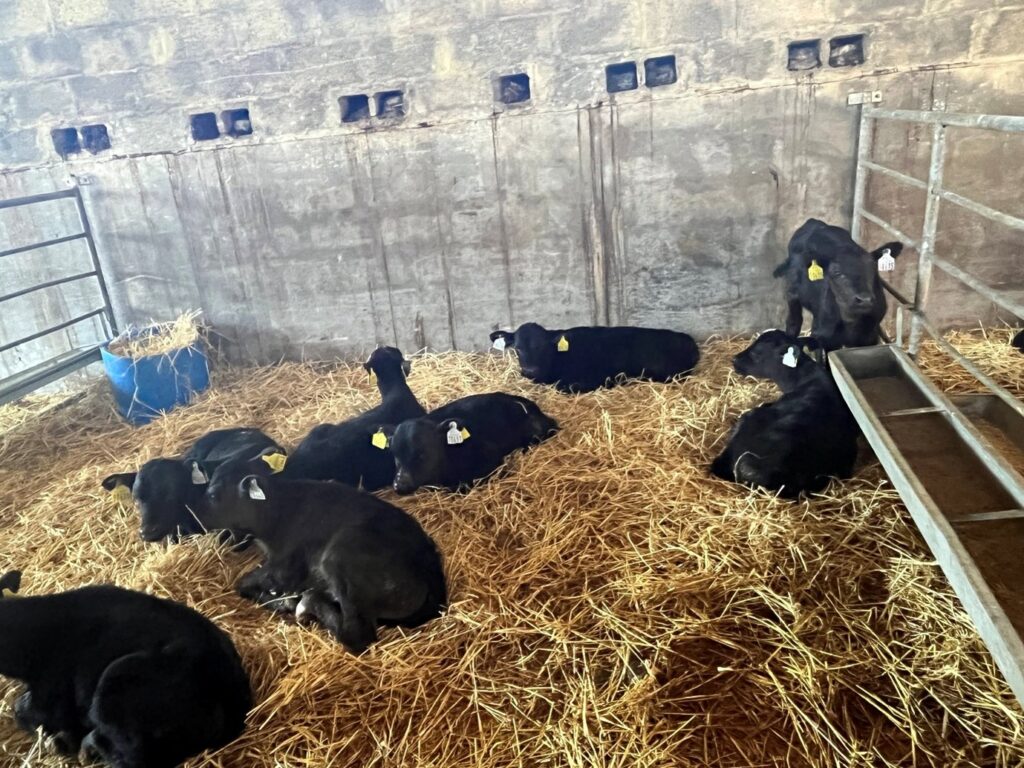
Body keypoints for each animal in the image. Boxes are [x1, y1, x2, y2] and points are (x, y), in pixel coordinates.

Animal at [200, 472, 447, 654]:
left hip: (339, 555)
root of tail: (431, 571)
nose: (197, 518)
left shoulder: (284, 566)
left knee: (356, 635)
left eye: (212, 495)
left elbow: (243, 582)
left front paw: (282, 601)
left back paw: (306, 603)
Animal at [773, 218, 903, 351]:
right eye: (837, 272)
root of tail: (814, 221)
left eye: (873, 268)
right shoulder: (825, 337)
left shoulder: (869, 338)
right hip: (791, 293)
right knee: (794, 321)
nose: (864, 300)